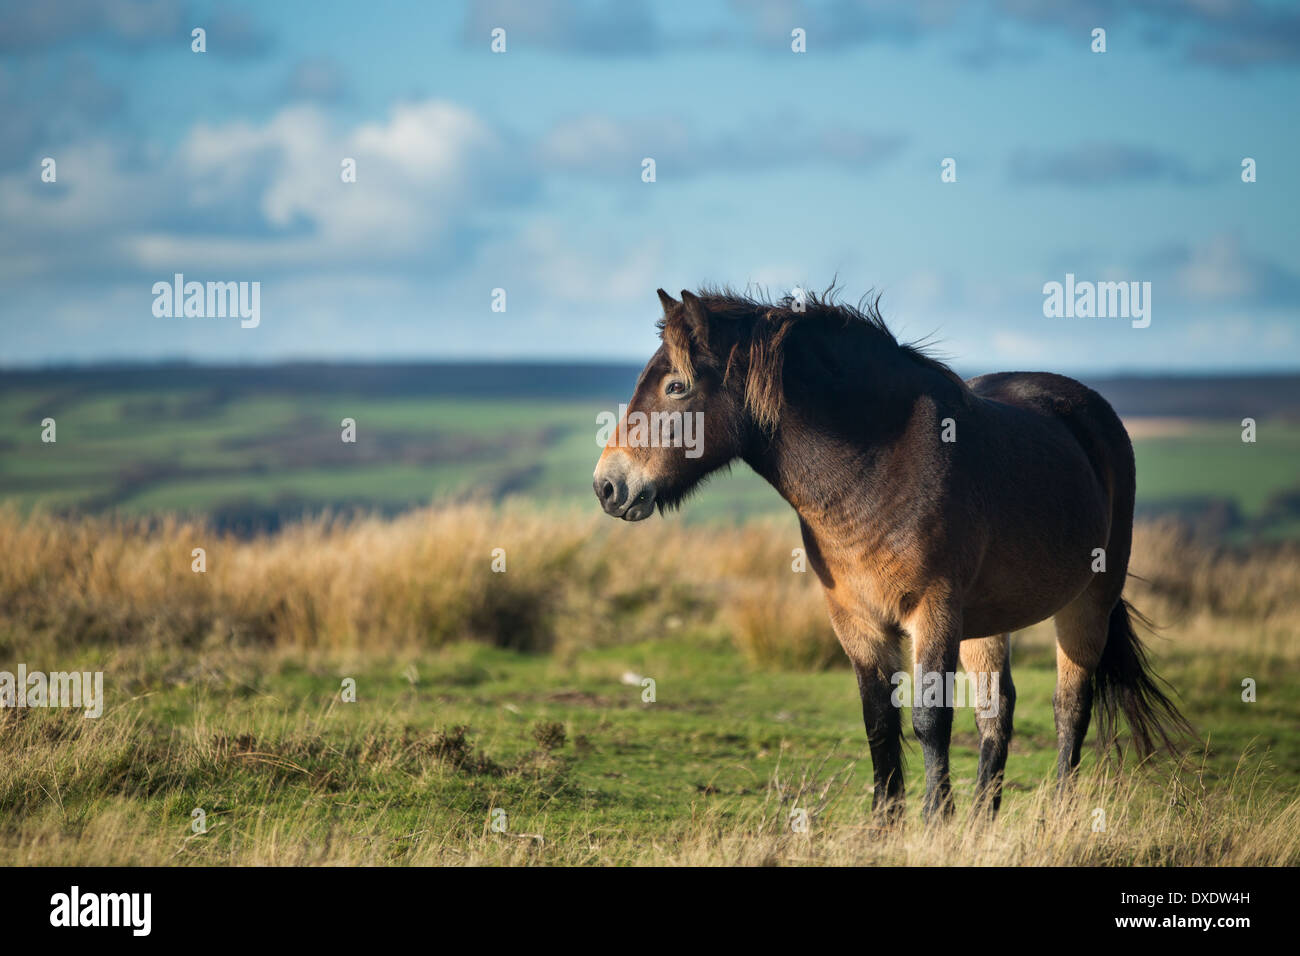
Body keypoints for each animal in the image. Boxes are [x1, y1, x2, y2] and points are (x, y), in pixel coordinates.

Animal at [595, 286, 1190, 822]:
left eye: (676, 386)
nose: (608, 486)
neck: (875, 470)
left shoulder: (934, 612)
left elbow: (929, 719)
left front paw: (934, 820)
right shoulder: (855, 619)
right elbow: (879, 720)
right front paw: (886, 824)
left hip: (1088, 601)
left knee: (1070, 708)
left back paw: (1059, 813)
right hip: (987, 623)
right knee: (997, 713)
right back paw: (982, 822)